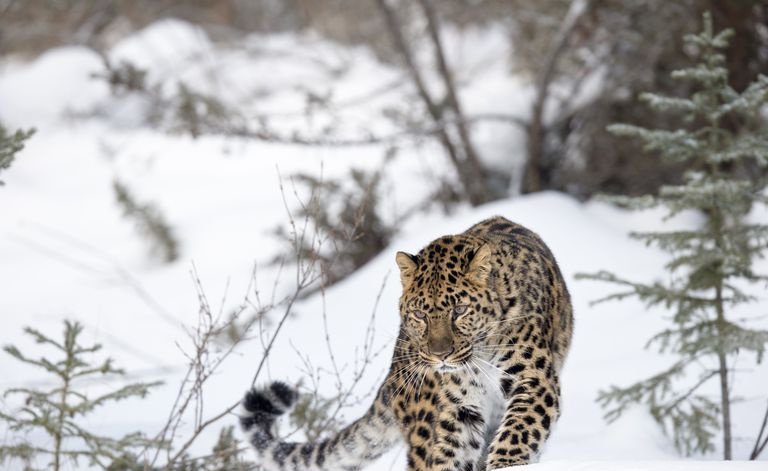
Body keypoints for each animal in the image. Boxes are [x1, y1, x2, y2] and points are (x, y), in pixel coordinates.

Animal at [240, 215, 573, 470]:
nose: (440, 356)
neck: (481, 355)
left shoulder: (534, 380)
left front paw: (505, 463)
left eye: (459, 310)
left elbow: (518, 432)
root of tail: (392, 372)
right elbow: (450, 454)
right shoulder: (460, 408)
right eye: (420, 314)